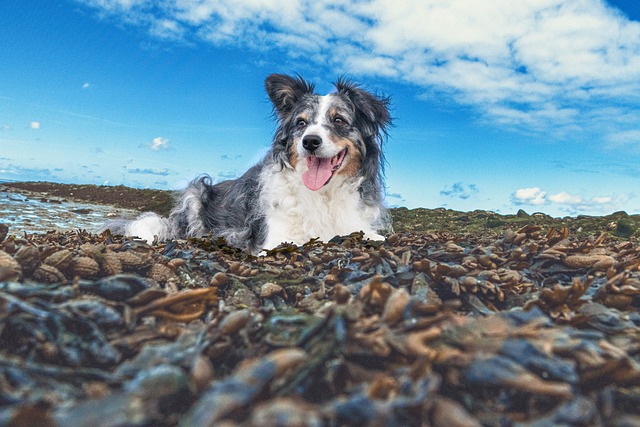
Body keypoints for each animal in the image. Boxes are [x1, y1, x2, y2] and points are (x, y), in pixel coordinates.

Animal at [106, 74, 390, 256]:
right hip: (196, 192)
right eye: (301, 123)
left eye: (339, 120)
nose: (309, 142)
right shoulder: (277, 238)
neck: (323, 194)